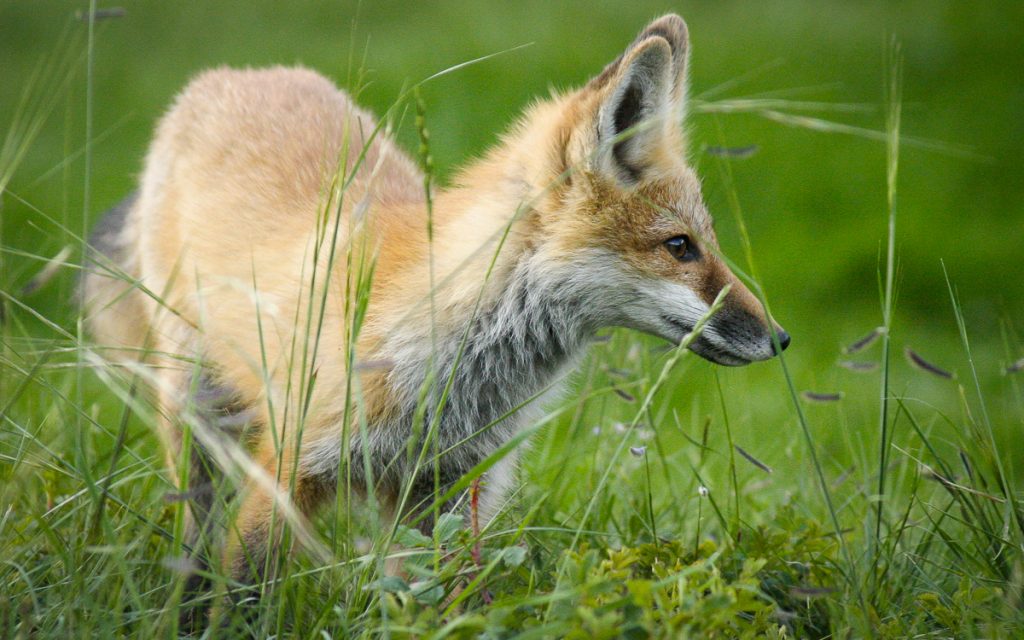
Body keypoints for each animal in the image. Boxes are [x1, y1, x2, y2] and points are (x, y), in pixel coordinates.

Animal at [82, 12, 788, 615]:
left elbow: (441, 601)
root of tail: (235, 73)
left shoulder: (451, 489)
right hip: (195, 412)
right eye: (679, 247)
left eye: (708, 242)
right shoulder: (289, 464)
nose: (780, 339)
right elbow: (244, 587)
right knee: (197, 536)